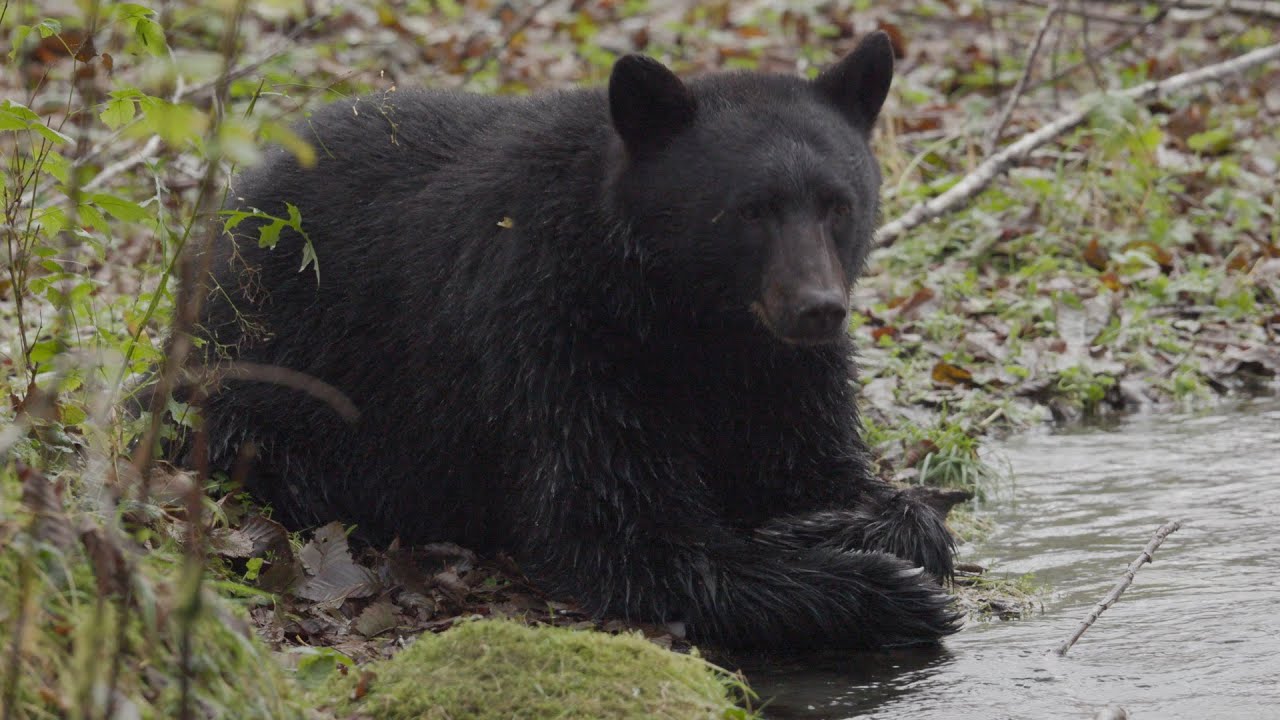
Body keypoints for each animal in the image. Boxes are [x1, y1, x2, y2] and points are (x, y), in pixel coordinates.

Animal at [177, 31, 960, 652]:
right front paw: (879, 587)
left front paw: (858, 522)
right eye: (749, 210)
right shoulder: (558, 334)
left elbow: (819, 462)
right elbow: (620, 527)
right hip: (275, 376)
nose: (818, 310)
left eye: (838, 204)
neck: (694, 318)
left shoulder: (781, 370)